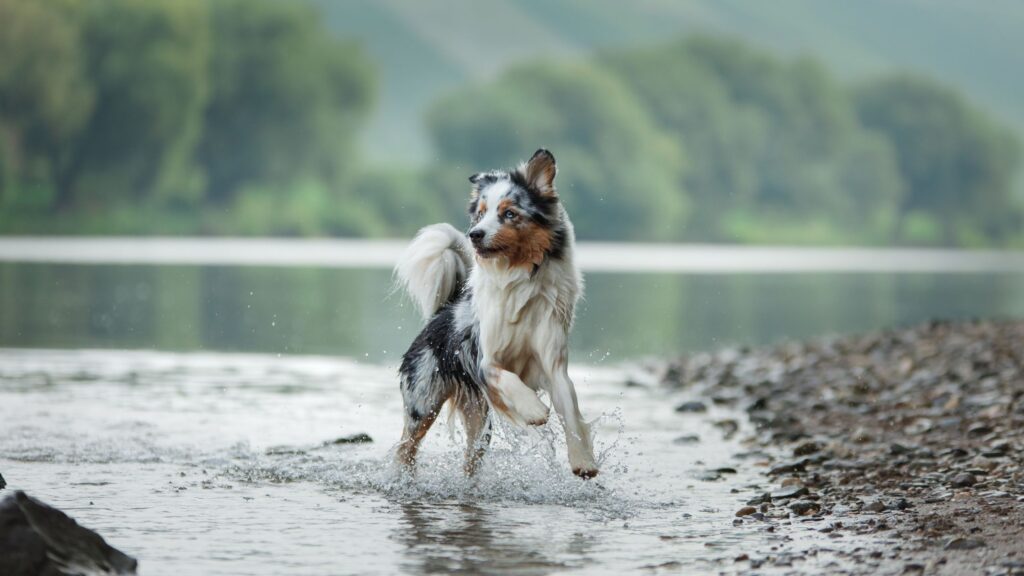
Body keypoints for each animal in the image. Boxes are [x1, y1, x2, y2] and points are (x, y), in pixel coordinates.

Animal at [393, 146, 598, 475]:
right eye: (480, 213)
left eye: (509, 213)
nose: (474, 234)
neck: (518, 277)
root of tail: (442, 311)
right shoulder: (484, 360)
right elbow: (507, 378)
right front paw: (534, 409)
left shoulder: (554, 364)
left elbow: (571, 412)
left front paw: (583, 460)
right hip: (422, 404)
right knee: (405, 449)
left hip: (480, 423)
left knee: (470, 459)